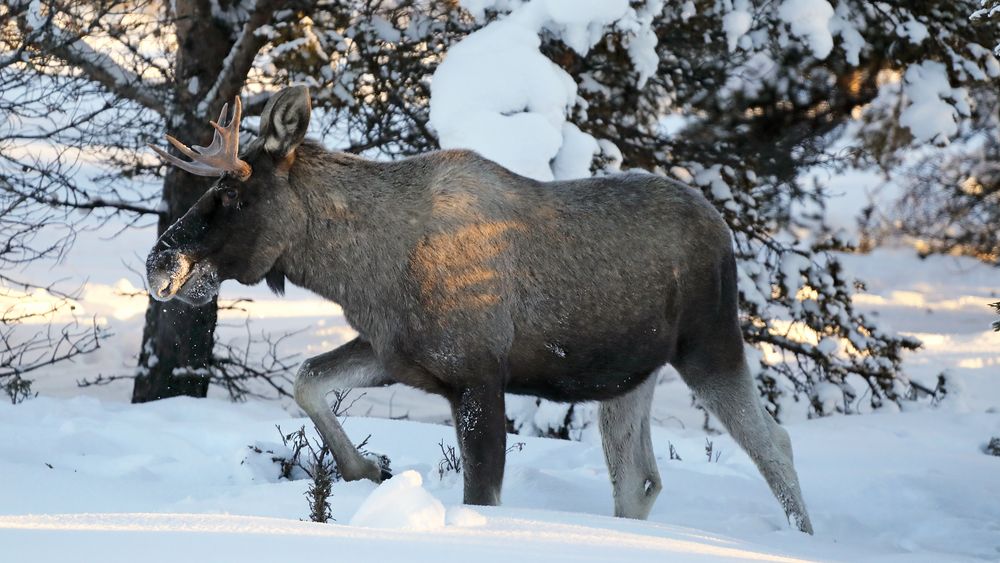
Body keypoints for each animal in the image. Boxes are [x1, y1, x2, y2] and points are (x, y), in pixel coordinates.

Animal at [150, 87, 820, 532]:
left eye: (234, 194)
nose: (160, 263)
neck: (355, 270)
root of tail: (723, 227)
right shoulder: (399, 356)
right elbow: (308, 380)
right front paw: (368, 467)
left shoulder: (477, 377)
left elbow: (482, 495)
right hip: (632, 375)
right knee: (640, 479)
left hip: (710, 342)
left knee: (775, 444)